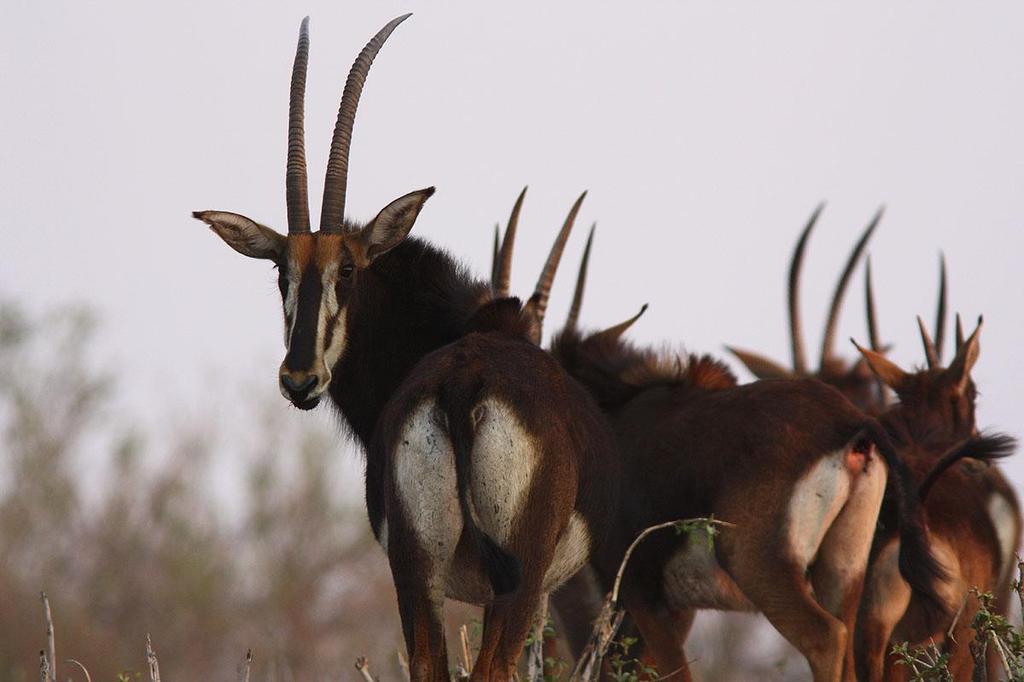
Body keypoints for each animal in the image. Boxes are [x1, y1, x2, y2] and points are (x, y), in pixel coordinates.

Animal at [552, 231, 942, 675]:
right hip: (843, 569)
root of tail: (852, 424)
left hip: (760, 567)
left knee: (825, 636)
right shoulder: (674, 605)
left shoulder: (638, 589)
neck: (612, 411)